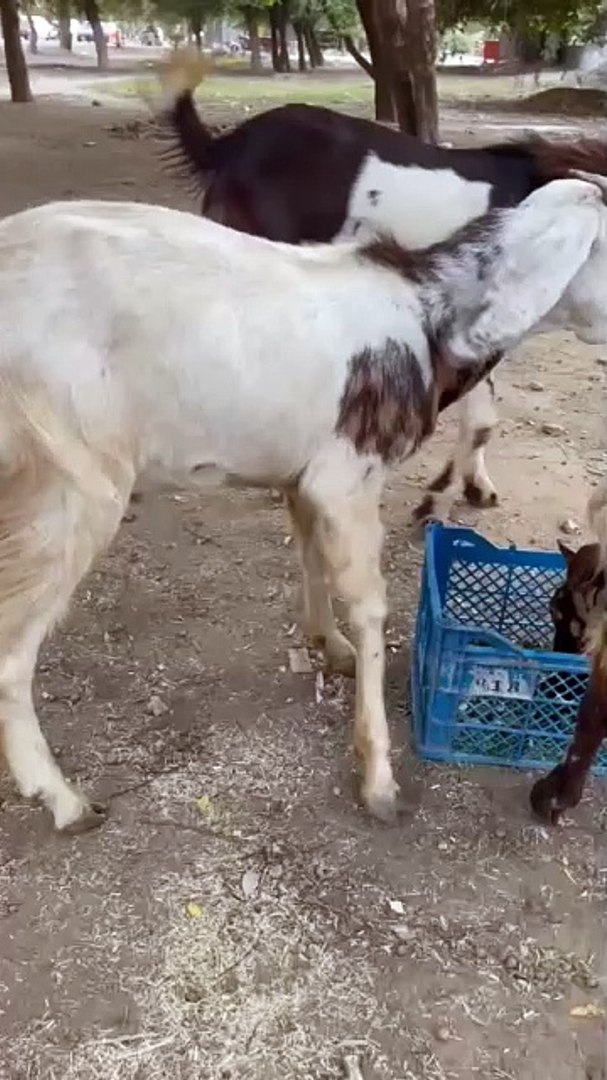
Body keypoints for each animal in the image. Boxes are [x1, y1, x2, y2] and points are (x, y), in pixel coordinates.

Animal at [0, 176, 605, 833]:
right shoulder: (349, 474)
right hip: (72, 479)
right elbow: (369, 605)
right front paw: (379, 778)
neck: (427, 315)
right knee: (11, 651)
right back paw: (62, 799)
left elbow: (310, 551)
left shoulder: (303, 474)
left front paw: (329, 645)